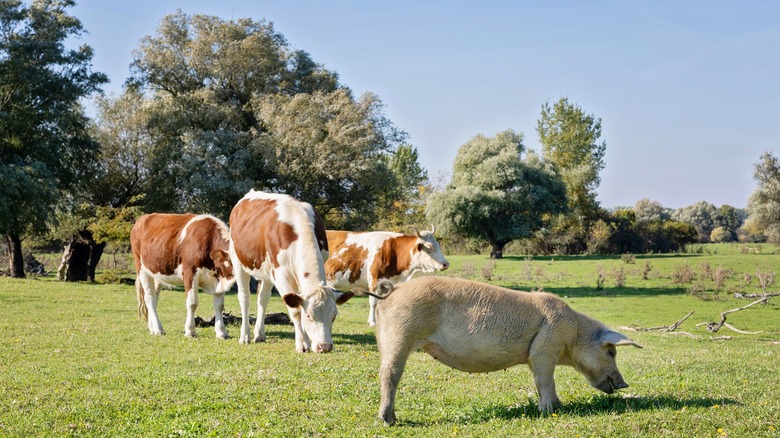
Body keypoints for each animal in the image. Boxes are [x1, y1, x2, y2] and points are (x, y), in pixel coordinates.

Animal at [227, 191, 354, 352]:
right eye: (309, 316)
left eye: (334, 317)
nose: (325, 346)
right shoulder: (281, 275)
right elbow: (295, 310)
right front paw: (302, 343)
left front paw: (306, 340)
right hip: (238, 261)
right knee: (244, 297)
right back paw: (245, 336)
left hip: (266, 271)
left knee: (263, 298)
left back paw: (259, 334)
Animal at [374, 278, 644, 424]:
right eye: (611, 353)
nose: (624, 384)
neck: (574, 332)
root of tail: (394, 289)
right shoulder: (545, 349)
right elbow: (546, 381)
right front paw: (548, 412)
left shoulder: (535, 358)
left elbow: (544, 382)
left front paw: (559, 407)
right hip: (400, 334)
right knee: (389, 375)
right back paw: (388, 421)